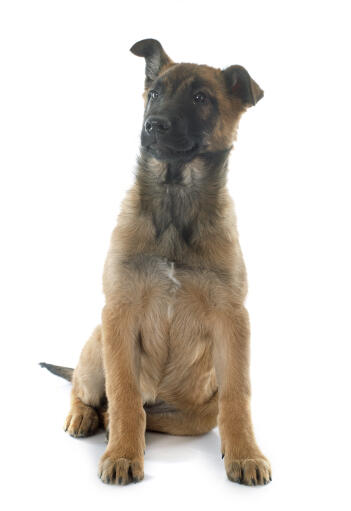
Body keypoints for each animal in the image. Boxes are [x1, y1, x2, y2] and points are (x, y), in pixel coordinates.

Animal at [41, 39, 272, 488]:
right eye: (155, 94)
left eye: (201, 98)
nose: (154, 125)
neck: (175, 200)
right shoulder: (119, 313)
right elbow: (124, 393)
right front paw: (122, 453)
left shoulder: (232, 319)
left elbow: (238, 395)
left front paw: (245, 454)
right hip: (96, 345)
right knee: (89, 390)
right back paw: (86, 418)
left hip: (196, 411)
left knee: (155, 415)